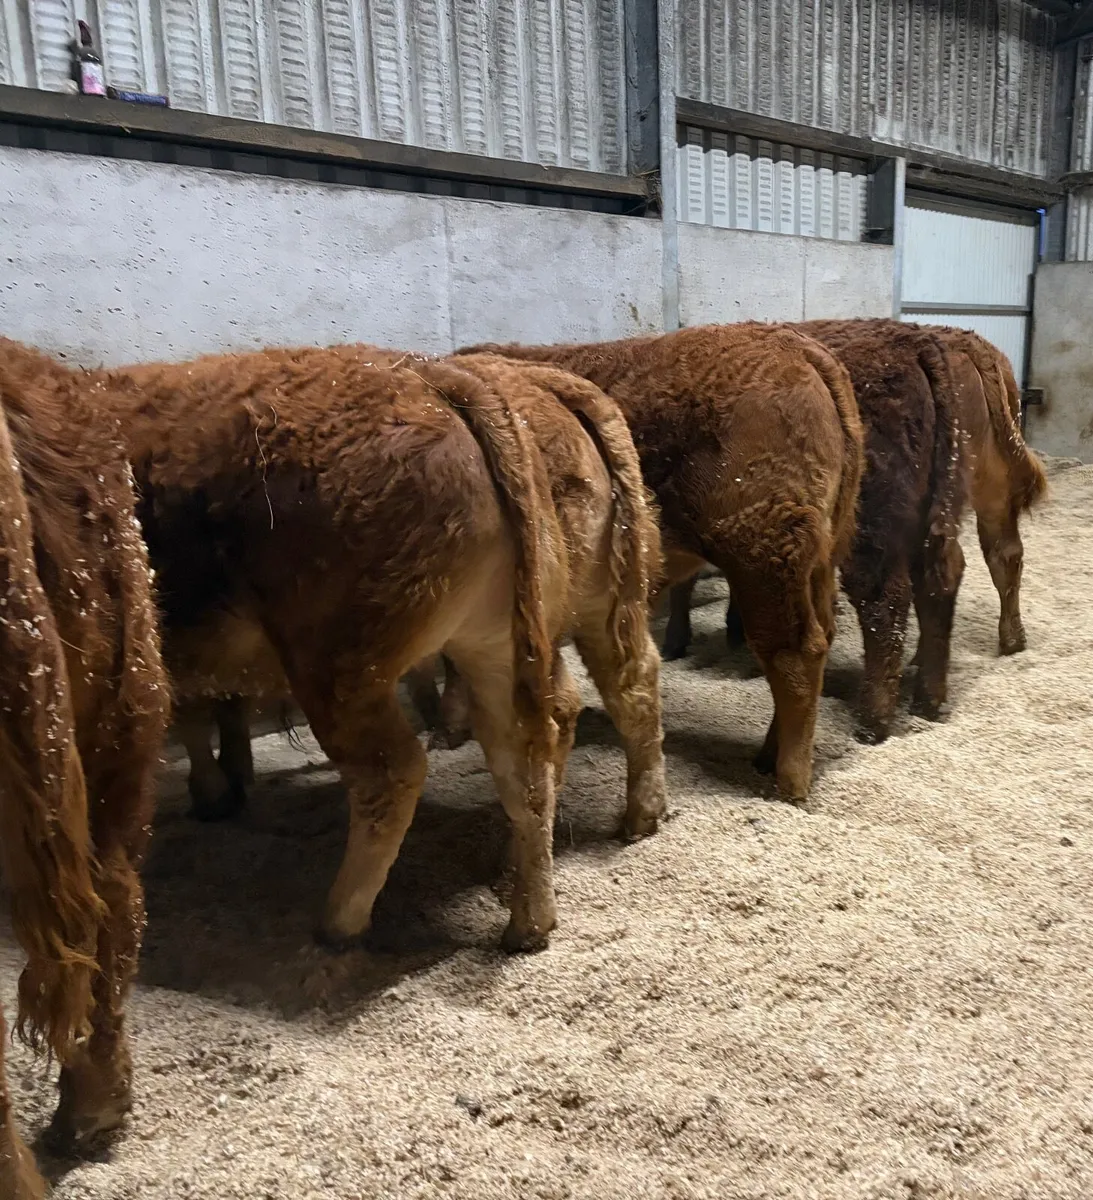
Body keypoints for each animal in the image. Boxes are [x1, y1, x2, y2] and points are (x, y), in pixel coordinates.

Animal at [99, 345, 664, 952]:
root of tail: (432, 378)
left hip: (340, 665)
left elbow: (189, 719)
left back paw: (340, 921)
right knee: (582, 712)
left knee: (392, 772)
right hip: (544, 625)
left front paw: (212, 792)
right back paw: (556, 887)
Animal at [455, 325, 865, 802]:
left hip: (763, 556)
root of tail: (794, 344)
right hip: (817, 560)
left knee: (792, 654)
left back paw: (790, 780)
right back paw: (768, 756)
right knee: (818, 638)